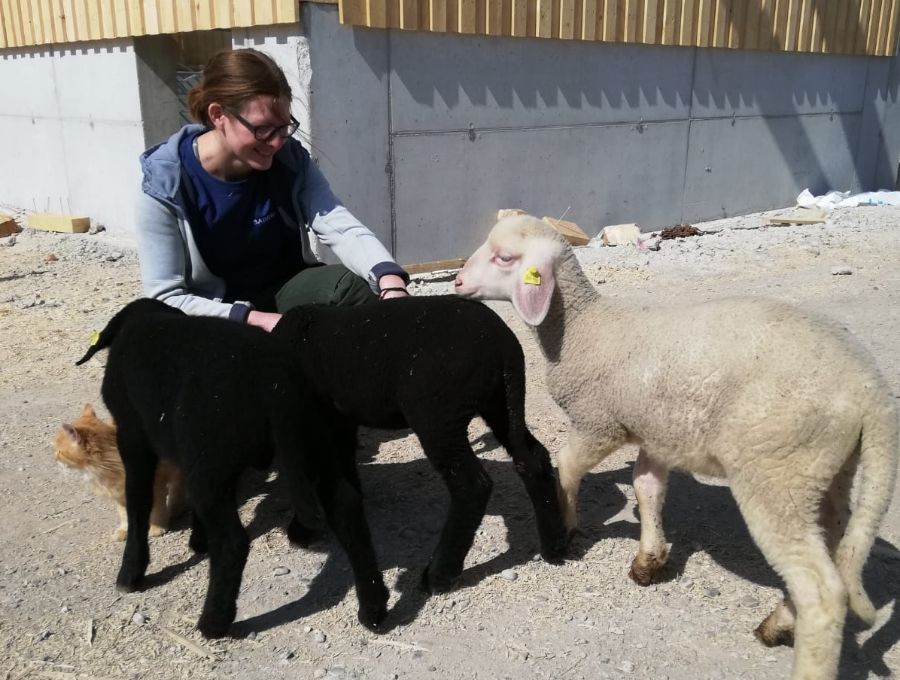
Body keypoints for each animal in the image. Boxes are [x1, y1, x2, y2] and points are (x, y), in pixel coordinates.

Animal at [52, 404, 185, 540]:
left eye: (59, 452)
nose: (54, 458)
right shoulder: (119, 495)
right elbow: (124, 515)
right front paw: (124, 531)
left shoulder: (156, 487)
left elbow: (157, 511)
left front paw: (156, 528)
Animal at [76, 298, 386, 636]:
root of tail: (275, 382)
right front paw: (198, 540)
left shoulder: (134, 437)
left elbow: (137, 502)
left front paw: (131, 572)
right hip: (316, 437)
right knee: (346, 506)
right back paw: (374, 609)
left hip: (212, 460)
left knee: (233, 543)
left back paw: (213, 622)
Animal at [274, 294, 568, 592]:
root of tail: (499, 341)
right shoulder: (339, 419)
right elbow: (342, 463)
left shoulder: (301, 418)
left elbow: (302, 472)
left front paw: (302, 529)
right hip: (501, 401)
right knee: (533, 459)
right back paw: (554, 548)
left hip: (437, 415)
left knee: (471, 485)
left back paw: (438, 575)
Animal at [458, 214, 900, 680]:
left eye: (505, 257)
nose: (457, 281)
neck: (582, 327)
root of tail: (873, 392)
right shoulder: (659, 431)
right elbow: (646, 488)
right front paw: (648, 560)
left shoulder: (600, 422)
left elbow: (568, 466)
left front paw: (568, 527)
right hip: (826, 467)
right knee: (834, 540)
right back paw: (780, 622)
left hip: (777, 470)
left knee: (821, 591)